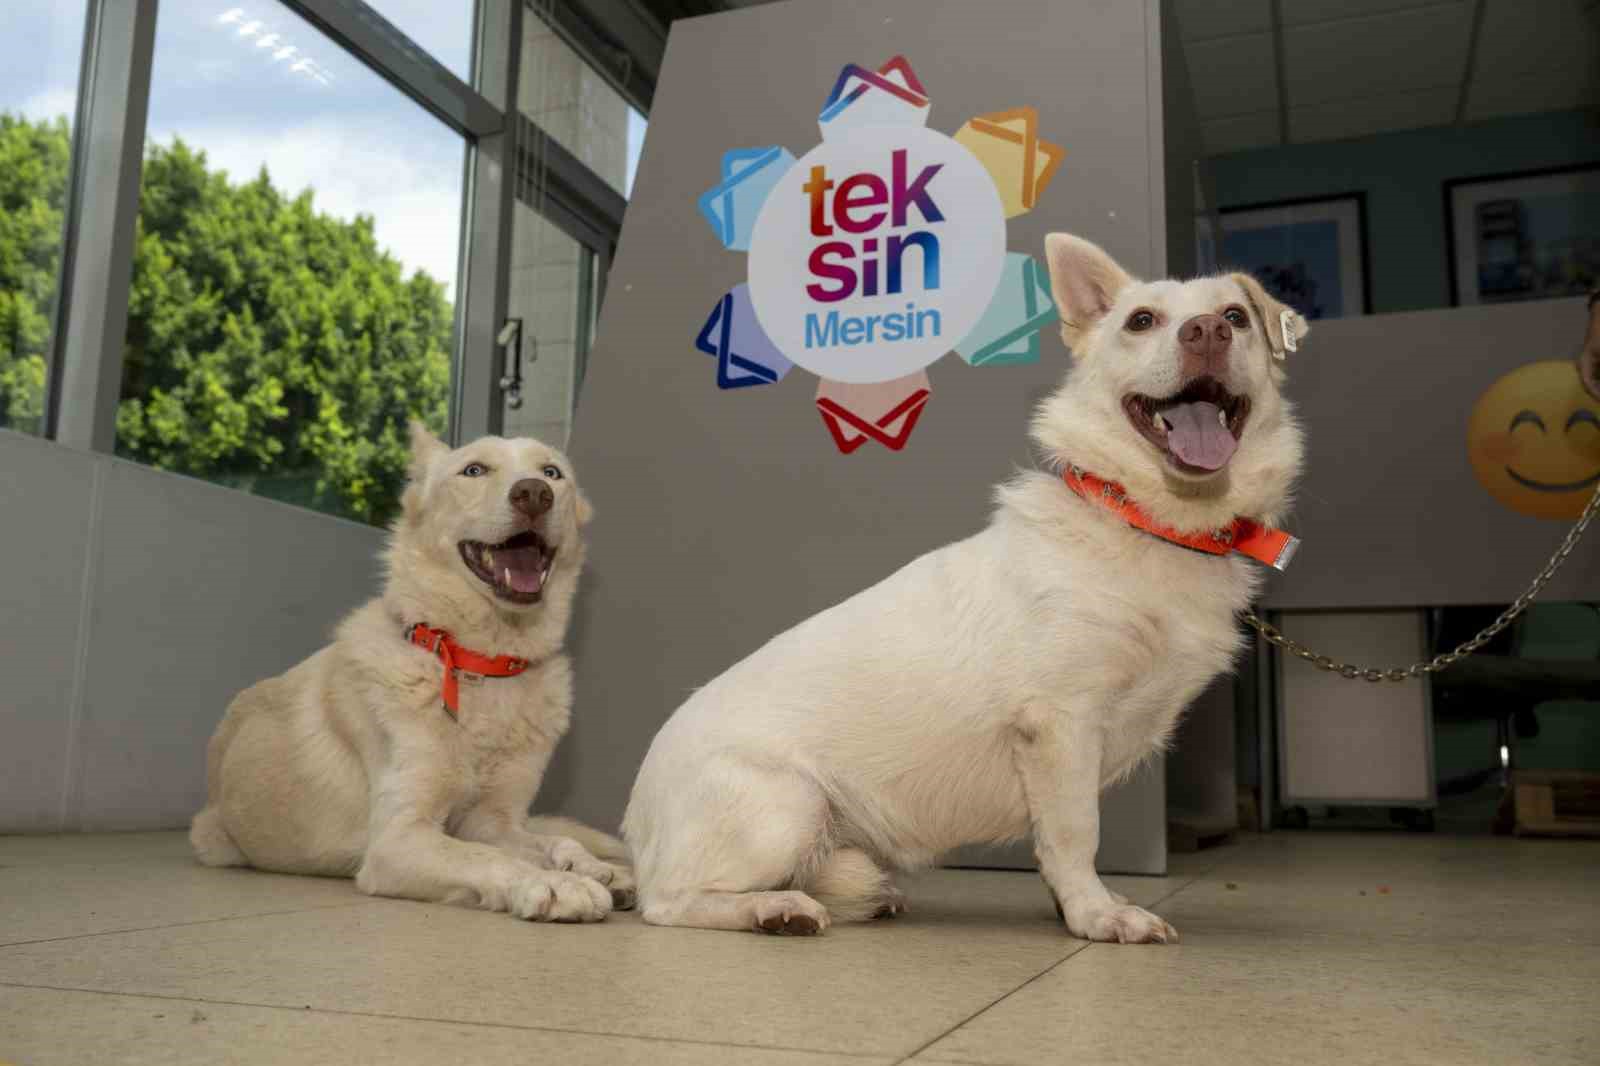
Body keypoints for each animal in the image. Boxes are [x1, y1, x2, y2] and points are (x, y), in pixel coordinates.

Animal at [192, 422, 630, 921]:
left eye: (552, 473)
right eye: (474, 470)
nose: (535, 494)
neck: (480, 662)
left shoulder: (494, 820)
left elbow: (546, 841)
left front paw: (589, 867)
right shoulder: (397, 839)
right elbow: (486, 856)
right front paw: (555, 883)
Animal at [617, 232, 1305, 941]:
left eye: (1236, 318)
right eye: (1142, 321)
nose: (1206, 332)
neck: (1147, 521)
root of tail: (635, 828)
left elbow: (1057, 843)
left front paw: (1078, 904)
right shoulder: (1061, 723)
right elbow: (1074, 835)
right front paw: (1097, 915)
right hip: (789, 804)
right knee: (669, 904)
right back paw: (773, 909)